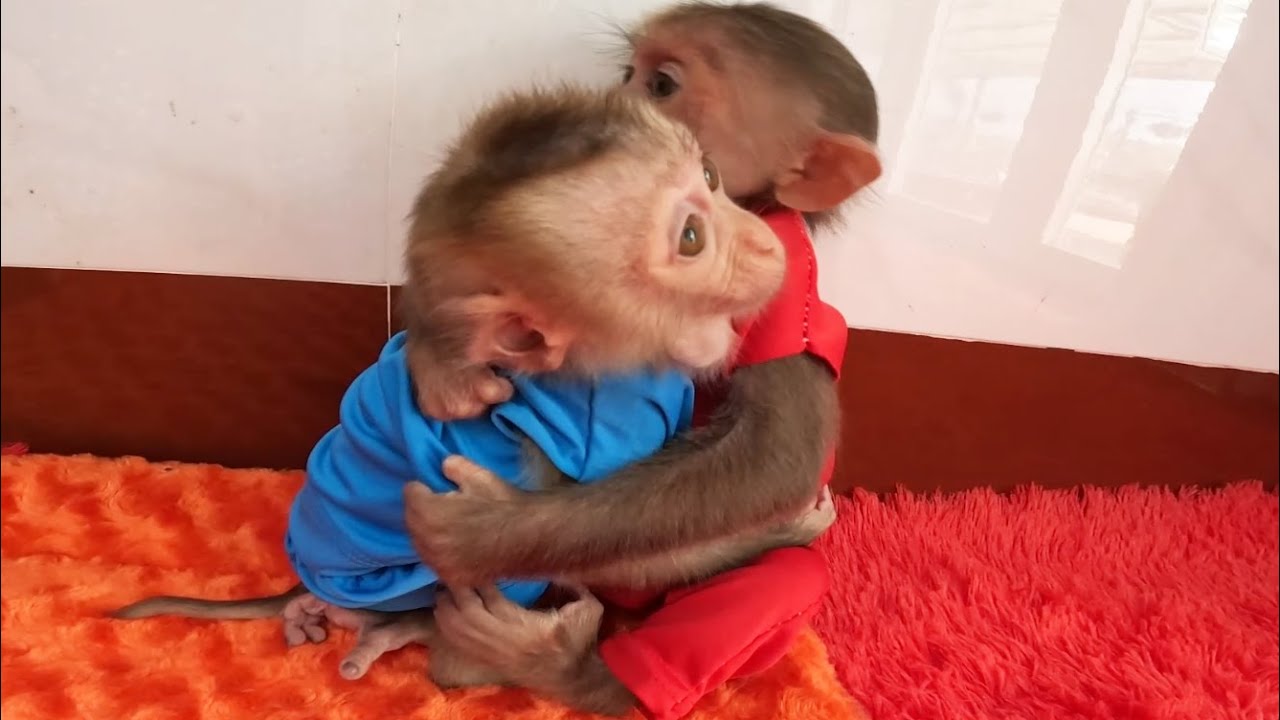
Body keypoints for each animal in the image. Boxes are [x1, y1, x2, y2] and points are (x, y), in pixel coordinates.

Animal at [107, 83, 837, 707]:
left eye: (711, 177)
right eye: (691, 238)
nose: (764, 240)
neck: (595, 367)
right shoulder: (601, 425)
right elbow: (613, 544)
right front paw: (781, 528)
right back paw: (505, 659)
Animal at [396, 3, 884, 718]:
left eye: (662, 85)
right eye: (629, 73)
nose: (615, 96)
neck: (761, 208)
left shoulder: (790, 280)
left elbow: (774, 458)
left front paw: (484, 532)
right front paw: (443, 364)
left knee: (776, 583)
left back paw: (567, 668)